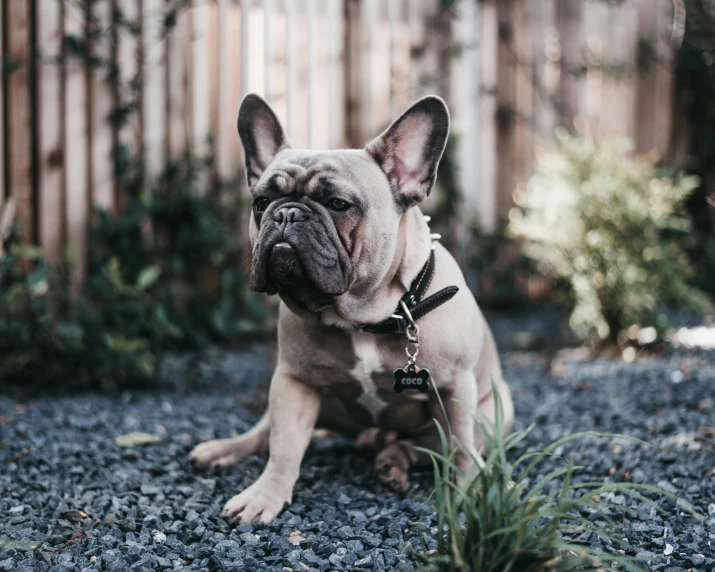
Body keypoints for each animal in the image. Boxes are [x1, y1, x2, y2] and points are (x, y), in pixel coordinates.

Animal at [190, 92, 516, 524]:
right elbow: (284, 448)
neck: (364, 319)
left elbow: (460, 446)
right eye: (261, 202)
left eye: (338, 203)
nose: (287, 213)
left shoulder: (454, 387)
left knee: (431, 445)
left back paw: (395, 462)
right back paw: (224, 449)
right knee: (263, 433)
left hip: (493, 413)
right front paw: (265, 495)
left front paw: (471, 491)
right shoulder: (294, 382)